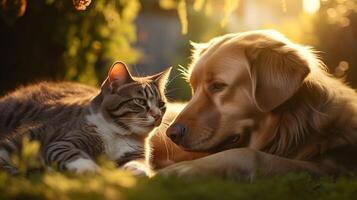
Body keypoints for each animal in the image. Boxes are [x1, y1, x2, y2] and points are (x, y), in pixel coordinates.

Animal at [0, 61, 171, 175]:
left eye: (161, 104)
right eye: (140, 101)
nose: (157, 115)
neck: (117, 133)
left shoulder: (135, 153)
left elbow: (138, 164)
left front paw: (137, 172)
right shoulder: (62, 142)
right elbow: (74, 156)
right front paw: (92, 170)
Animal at [145, 29, 356, 180]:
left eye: (218, 86)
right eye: (193, 87)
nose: (171, 134)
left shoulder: (331, 166)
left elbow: (250, 154)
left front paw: (183, 169)